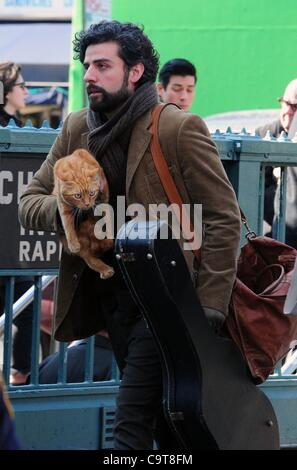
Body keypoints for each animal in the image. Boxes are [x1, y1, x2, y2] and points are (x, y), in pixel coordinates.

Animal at [52, 147, 114, 280]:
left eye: (91, 193)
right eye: (78, 196)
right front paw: (73, 244)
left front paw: (110, 237)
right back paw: (106, 270)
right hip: (84, 248)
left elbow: (107, 220)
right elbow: (67, 225)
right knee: (90, 258)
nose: (87, 204)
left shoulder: (104, 200)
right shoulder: (63, 205)